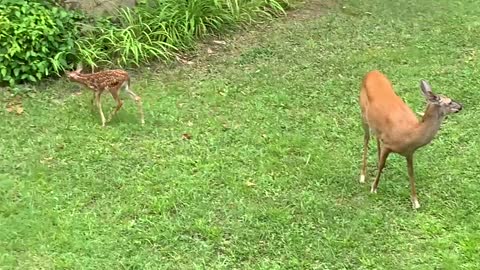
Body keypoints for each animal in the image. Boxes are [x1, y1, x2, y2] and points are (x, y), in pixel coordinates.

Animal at [360, 70, 462, 209]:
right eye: (449, 102)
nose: (461, 106)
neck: (410, 134)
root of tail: (372, 72)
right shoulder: (388, 144)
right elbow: (382, 165)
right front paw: (373, 188)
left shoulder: (409, 152)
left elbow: (411, 173)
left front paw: (415, 202)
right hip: (362, 112)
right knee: (366, 138)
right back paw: (362, 176)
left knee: (376, 138)